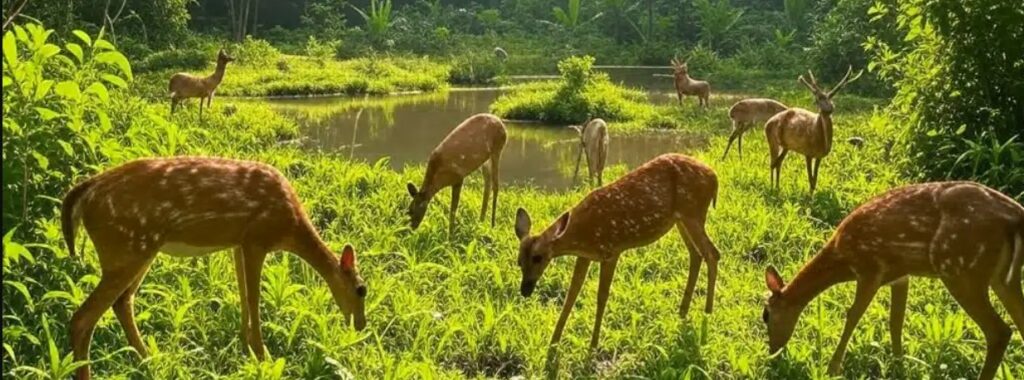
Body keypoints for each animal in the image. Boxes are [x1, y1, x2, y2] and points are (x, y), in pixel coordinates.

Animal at [59, 156, 368, 378]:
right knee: (83, 318)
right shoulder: (257, 238)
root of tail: (83, 193)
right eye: (361, 289)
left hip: (139, 251)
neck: (290, 227)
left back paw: (150, 360)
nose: (361, 326)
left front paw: (245, 349)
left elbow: (243, 295)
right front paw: (264, 357)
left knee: (122, 302)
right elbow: (254, 299)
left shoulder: (238, 243)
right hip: (127, 248)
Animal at [512, 153, 720, 352]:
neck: (582, 233)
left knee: (712, 253)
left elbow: (601, 296)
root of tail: (715, 178)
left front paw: (593, 344)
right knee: (696, 254)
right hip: (681, 220)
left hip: (693, 213)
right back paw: (683, 310)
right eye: (519, 262)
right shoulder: (584, 256)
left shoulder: (611, 250)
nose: (525, 290)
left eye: (538, 258)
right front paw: (553, 343)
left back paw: (708, 311)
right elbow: (571, 295)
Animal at [765, 66, 860, 194]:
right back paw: (771, 188)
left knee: (778, 163)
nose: (829, 109)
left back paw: (777, 188)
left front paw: (812, 195)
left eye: (831, 99)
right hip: (772, 139)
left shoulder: (819, 156)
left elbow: (814, 181)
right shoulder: (807, 152)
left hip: (786, 146)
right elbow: (810, 179)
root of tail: (767, 123)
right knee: (772, 163)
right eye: (817, 100)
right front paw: (809, 197)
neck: (821, 142)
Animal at [765, 182, 1019, 380]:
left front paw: (832, 368)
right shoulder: (899, 276)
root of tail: (1017, 217)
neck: (841, 257)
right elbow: (896, 322)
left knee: (1000, 331)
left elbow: (852, 315)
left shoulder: (869, 270)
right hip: (1003, 278)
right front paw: (899, 365)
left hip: (961, 269)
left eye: (765, 315)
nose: (772, 352)